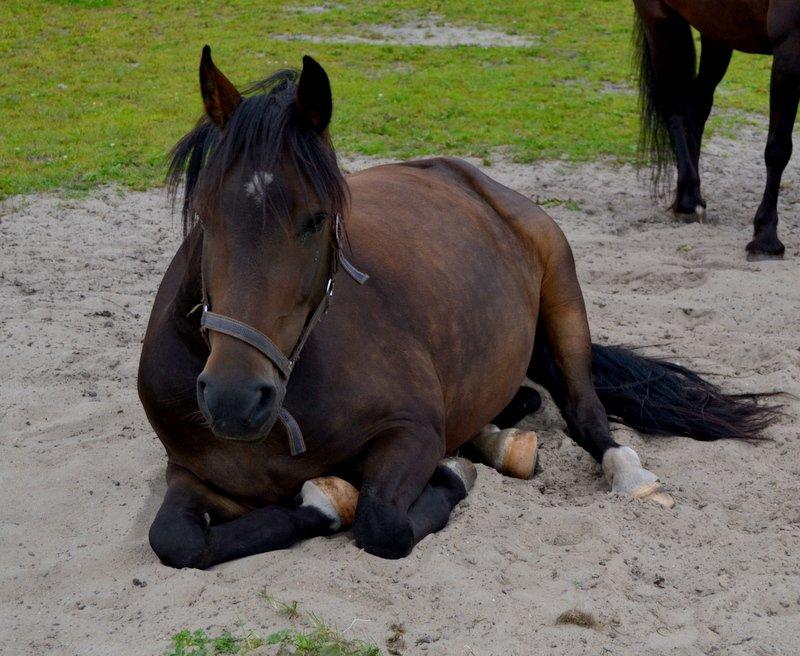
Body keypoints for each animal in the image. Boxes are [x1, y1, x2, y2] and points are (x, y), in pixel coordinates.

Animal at [138, 47, 776, 568]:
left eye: (317, 219)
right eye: (206, 213)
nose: (235, 399)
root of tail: (468, 176)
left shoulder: (413, 430)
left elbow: (382, 523)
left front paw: (444, 474)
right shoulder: (191, 474)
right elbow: (175, 541)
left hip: (564, 294)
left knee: (584, 410)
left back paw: (618, 468)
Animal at [636, 0, 796, 262]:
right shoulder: (789, 47)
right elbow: (778, 149)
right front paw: (765, 238)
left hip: (717, 29)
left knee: (696, 105)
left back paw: (688, 194)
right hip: (660, 19)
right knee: (674, 108)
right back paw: (688, 201)